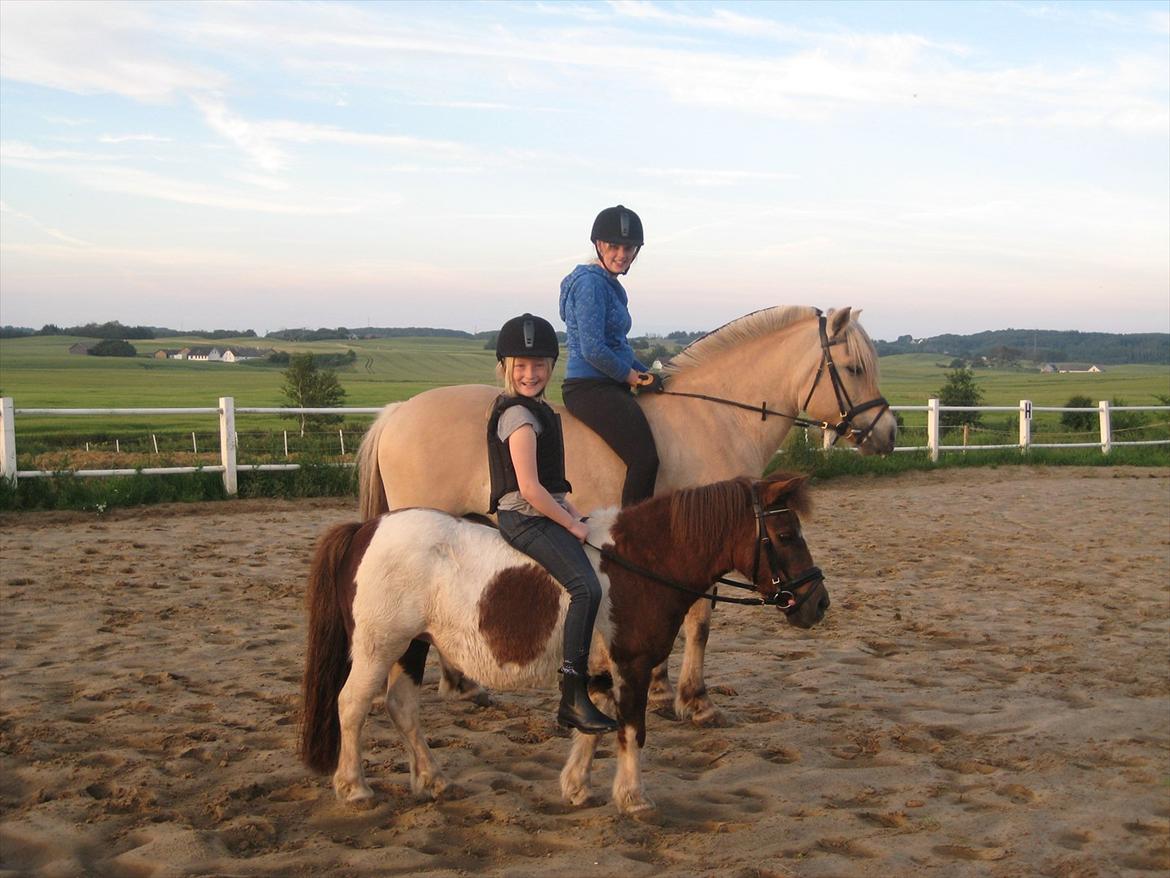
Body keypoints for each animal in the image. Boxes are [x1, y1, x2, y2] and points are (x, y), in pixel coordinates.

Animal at [301, 477, 823, 814]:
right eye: (785, 534)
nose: (818, 603)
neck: (637, 563)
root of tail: (367, 529)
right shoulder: (632, 665)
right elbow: (631, 730)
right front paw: (634, 798)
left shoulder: (599, 671)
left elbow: (591, 728)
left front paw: (576, 788)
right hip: (379, 645)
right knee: (352, 705)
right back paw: (354, 788)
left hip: (411, 646)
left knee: (402, 707)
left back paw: (432, 781)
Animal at [351, 306, 889, 725]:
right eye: (853, 367)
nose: (886, 433)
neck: (717, 418)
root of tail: (397, 412)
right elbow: (700, 620)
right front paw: (695, 701)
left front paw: (660, 687)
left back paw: (464, 686)